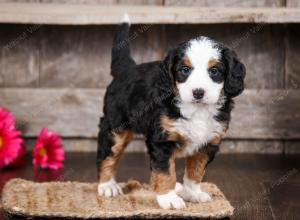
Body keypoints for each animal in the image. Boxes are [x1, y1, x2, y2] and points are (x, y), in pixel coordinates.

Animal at [97, 14, 245, 210]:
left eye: (214, 71)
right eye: (184, 70)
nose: (198, 92)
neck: (197, 110)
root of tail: (127, 69)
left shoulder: (208, 142)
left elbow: (195, 172)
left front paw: (193, 193)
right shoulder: (162, 140)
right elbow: (165, 171)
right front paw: (169, 198)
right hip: (115, 126)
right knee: (108, 154)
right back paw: (107, 185)